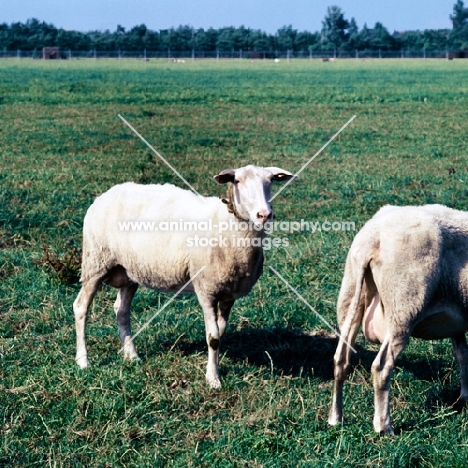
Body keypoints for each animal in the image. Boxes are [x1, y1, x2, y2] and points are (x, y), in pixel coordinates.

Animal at [73, 164, 294, 388]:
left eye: (271, 181)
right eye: (238, 181)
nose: (264, 215)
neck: (227, 225)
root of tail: (105, 194)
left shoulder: (228, 293)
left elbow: (221, 332)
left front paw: (215, 367)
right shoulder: (206, 289)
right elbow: (213, 337)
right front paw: (213, 378)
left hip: (129, 270)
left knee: (121, 310)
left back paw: (132, 355)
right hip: (95, 262)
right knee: (81, 307)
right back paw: (83, 360)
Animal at [328, 205, 468, 436]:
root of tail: (373, 237)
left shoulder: (457, 324)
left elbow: (462, 356)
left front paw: (464, 398)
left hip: (350, 295)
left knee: (341, 359)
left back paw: (335, 417)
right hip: (402, 308)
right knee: (381, 367)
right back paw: (384, 426)